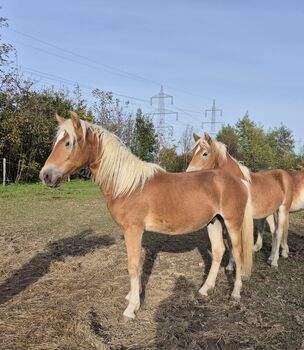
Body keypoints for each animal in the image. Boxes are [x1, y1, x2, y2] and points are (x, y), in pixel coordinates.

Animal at [40, 113, 254, 318]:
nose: (45, 176)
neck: (127, 185)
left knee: (237, 252)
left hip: (232, 223)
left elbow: (133, 266)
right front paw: (132, 296)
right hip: (214, 222)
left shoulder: (133, 230)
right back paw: (204, 289)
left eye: (68, 143)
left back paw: (235, 293)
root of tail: (240, 181)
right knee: (218, 251)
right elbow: (138, 265)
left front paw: (132, 308)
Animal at [186, 133, 294, 268]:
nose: (188, 174)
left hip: (282, 209)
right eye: (193, 152)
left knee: (279, 233)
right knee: (274, 232)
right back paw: (270, 258)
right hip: (270, 212)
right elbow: (230, 241)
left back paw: (274, 262)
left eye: (205, 153)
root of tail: (284, 174)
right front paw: (230, 266)